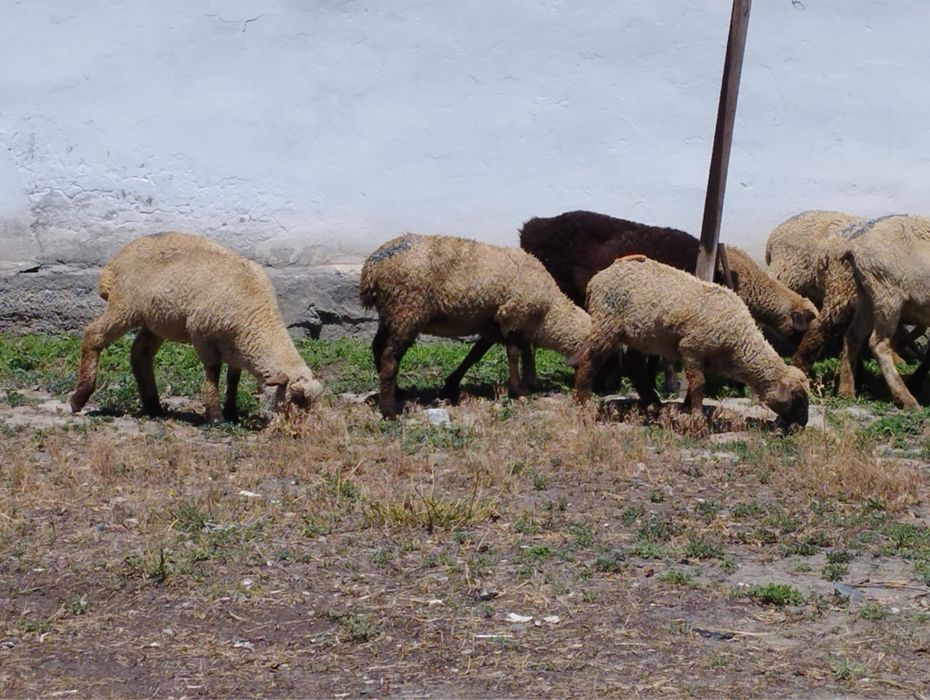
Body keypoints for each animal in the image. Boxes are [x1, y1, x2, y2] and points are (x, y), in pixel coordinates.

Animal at [70, 231, 324, 422]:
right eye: (295, 398)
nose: (301, 428)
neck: (257, 314)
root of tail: (114, 262)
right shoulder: (201, 333)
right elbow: (213, 371)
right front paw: (215, 416)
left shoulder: (236, 345)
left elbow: (233, 377)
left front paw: (231, 411)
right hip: (125, 306)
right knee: (94, 334)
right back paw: (79, 398)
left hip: (158, 320)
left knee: (139, 353)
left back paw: (153, 406)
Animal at [359, 233, 591, 418]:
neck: (548, 312)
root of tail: (372, 267)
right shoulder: (512, 317)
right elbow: (513, 355)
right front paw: (519, 389)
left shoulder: (495, 327)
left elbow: (477, 355)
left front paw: (451, 385)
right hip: (407, 310)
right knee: (390, 357)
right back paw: (389, 410)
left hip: (390, 314)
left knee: (378, 348)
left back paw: (397, 392)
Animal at [573, 255, 810, 429]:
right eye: (798, 397)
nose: (803, 423)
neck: (739, 344)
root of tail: (597, 278)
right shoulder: (692, 348)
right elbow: (698, 385)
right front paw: (696, 417)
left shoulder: (705, 359)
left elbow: (695, 386)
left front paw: (686, 409)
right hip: (607, 324)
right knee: (589, 359)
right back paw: (585, 404)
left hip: (637, 335)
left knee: (633, 364)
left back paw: (653, 405)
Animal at [840, 214, 930, 409]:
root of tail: (854, 247)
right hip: (888, 293)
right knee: (878, 343)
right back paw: (907, 399)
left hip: (866, 295)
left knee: (853, 336)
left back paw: (846, 392)